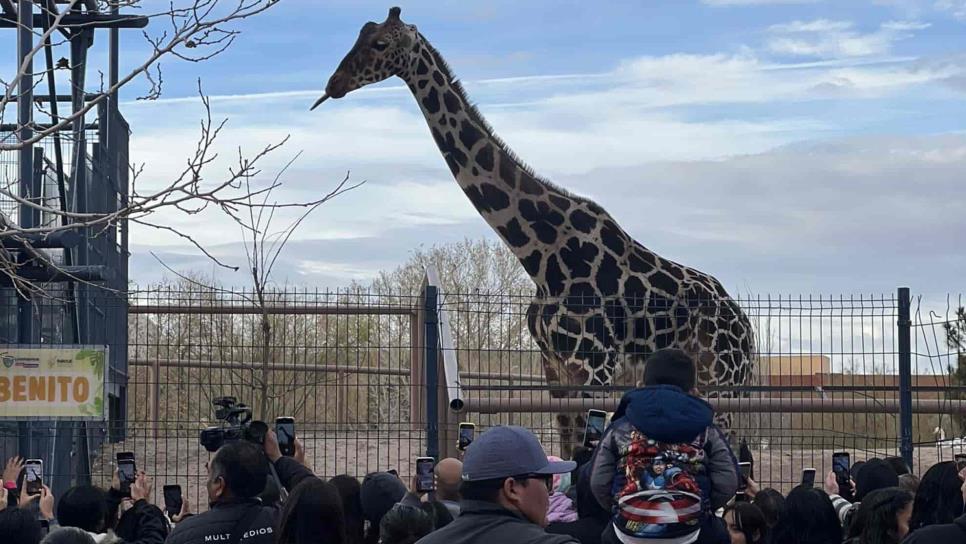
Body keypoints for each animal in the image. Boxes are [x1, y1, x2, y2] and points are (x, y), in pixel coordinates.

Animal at [314, 7, 760, 454]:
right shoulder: (556, 371)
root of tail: (745, 325)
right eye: (360, 35)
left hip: (722, 380)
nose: (333, 84)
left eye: (380, 44)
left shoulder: (593, 369)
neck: (541, 256)